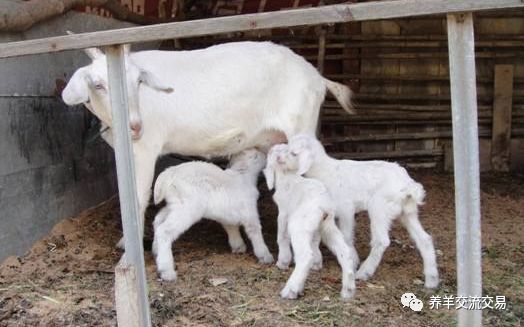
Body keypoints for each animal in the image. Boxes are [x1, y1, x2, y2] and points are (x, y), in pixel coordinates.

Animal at [62, 41, 356, 246]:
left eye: (138, 81)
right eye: (97, 84)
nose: (135, 126)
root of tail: (317, 77)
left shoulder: (145, 147)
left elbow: (138, 197)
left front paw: (126, 248)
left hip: (301, 124)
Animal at [151, 150, 274, 280]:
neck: (242, 174)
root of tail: (168, 174)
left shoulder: (227, 214)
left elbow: (231, 228)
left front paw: (238, 247)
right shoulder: (249, 212)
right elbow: (255, 232)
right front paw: (266, 256)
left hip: (175, 204)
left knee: (158, 220)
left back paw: (156, 250)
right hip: (188, 207)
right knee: (165, 230)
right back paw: (167, 272)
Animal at [264, 144, 354, 300]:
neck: (288, 176)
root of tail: (324, 204)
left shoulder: (284, 212)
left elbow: (282, 236)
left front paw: (282, 262)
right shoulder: (315, 227)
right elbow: (314, 242)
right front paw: (317, 263)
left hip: (299, 224)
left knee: (306, 255)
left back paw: (291, 290)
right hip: (327, 226)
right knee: (345, 252)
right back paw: (348, 290)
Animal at [286, 135, 438, 290]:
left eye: (293, 153)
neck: (324, 170)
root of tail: (408, 185)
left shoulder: (345, 208)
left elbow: (346, 236)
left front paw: (353, 261)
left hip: (379, 208)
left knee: (381, 241)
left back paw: (364, 272)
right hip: (408, 213)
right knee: (424, 239)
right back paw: (431, 280)